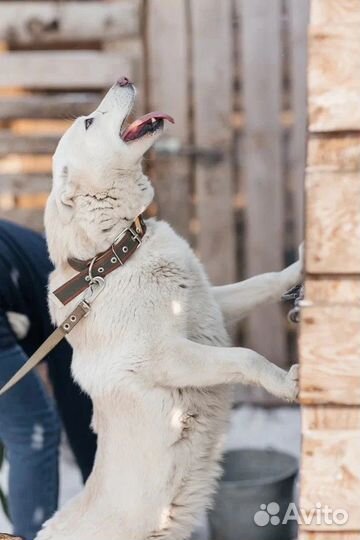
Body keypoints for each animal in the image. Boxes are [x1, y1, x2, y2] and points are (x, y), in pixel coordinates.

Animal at [37, 79, 300, 540]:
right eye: (88, 122)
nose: (124, 79)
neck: (115, 255)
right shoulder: (168, 358)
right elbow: (245, 357)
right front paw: (287, 384)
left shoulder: (213, 308)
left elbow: (265, 282)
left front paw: (301, 267)